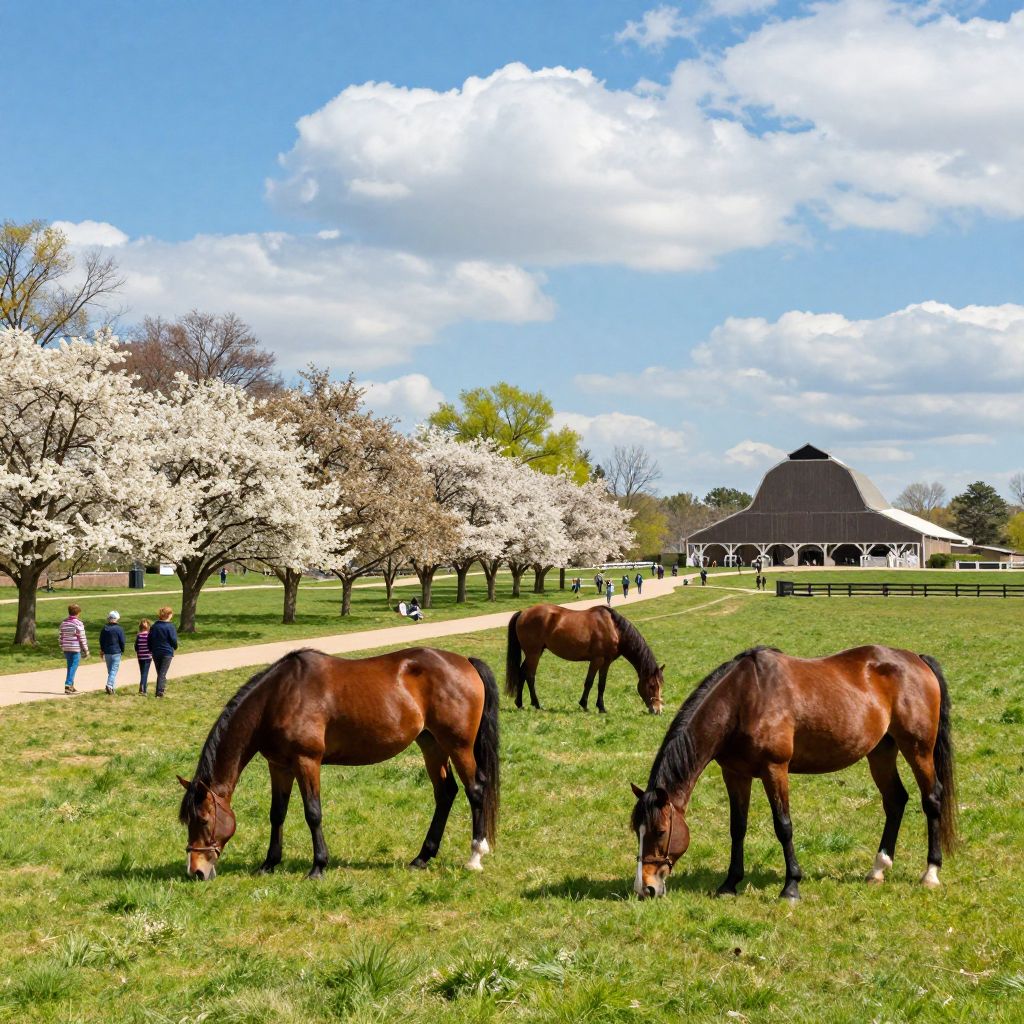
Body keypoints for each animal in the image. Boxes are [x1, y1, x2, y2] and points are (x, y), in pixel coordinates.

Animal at [177, 647, 500, 881]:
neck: (278, 697)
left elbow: (313, 813)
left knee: (475, 790)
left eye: (203, 820)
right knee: (445, 793)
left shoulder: (306, 762)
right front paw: (269, 864)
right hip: (431, 744)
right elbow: (277, 814)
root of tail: (465, 662)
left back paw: (475, 856)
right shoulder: (279, 766)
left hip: (458, 746)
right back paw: (422, 857)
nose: (196, 871)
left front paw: (318, 866)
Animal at [505, 605, 664, 714]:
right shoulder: (597, 660)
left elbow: (601, 684)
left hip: (534, 653)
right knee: (530, 676)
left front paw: (601, 707)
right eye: (652, 686)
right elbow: (589, 682)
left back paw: (520, 703)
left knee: (522, 673)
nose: (657, 710)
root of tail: (523, 613)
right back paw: (537, 704)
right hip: (534, 653)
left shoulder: (606, 662)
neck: (614, 628)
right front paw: (584, 705)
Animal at [631, 645, 956, 900]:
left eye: (660, 831)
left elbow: (783, 826)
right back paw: (877, 870)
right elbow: (738, 828)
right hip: (881, 751)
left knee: (931, 800)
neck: (743, 699)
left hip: (918, 749)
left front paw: (791, 887)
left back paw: (930, 873)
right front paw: (729, 883)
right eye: (637, 830)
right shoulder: (735, 774)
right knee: (895, 800)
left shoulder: (775, 769)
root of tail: (917, 659)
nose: (645, 888)